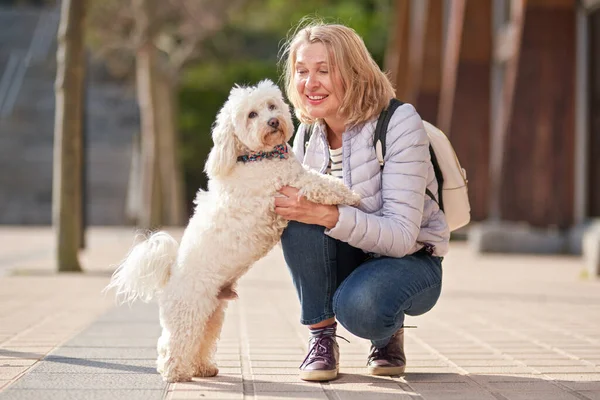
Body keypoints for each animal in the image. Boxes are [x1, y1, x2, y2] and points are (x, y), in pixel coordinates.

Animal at [105, 79, 358, 382]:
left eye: (271, 105)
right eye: (251, 115)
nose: (274, 121)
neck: (259, 157)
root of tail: (170, 275)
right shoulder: (290, 185)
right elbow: (320, 182)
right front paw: (351, 194)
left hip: (212, 313)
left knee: (201, 341)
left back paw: (203, 368)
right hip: (188, 313)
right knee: (172, 343)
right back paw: (175, 373)